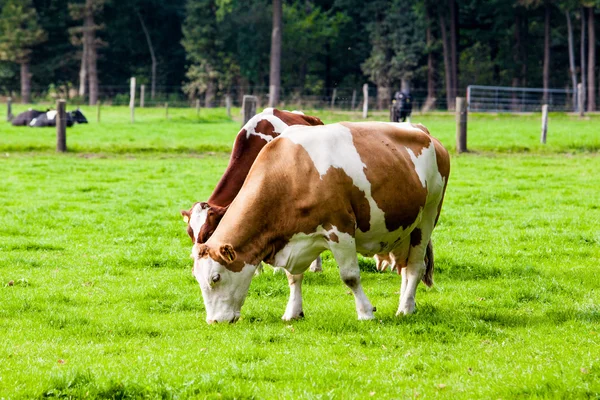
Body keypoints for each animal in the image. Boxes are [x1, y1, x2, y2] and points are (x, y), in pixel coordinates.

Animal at [182, 108, 326, 274]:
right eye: (190, 233)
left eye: (210, 233)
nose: (196, 267)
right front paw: (258, 270)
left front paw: (278, 270)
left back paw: (316, 266)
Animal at [188, 121, 450, 322]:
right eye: (197, 279)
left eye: (215, 278)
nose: (214, 321)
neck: (290, 173)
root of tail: (422, 130)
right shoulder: (296, 237)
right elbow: (293, 277)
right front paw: (293, 312)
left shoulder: (340, 230)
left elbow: (350, 276)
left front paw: (366, 312)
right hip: (403, 229)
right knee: (404, 267)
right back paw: (409, 302)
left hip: (427, 217)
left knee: (416, 266)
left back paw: (404, 308)